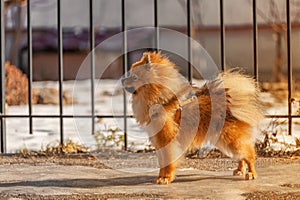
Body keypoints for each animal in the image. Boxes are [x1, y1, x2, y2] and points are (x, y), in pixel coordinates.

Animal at [122, 52, 262, 184]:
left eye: (134, 77)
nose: (122, 79)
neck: (162, 102)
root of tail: (231, 100)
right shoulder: (159, 143)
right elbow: (162, 164)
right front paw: (161, 177)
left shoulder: (167, 142)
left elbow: (168, 163)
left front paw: (166, 178)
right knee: (241, 156)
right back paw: (240, 170)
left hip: (230, 140)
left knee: (249, 154)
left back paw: (251, 173)